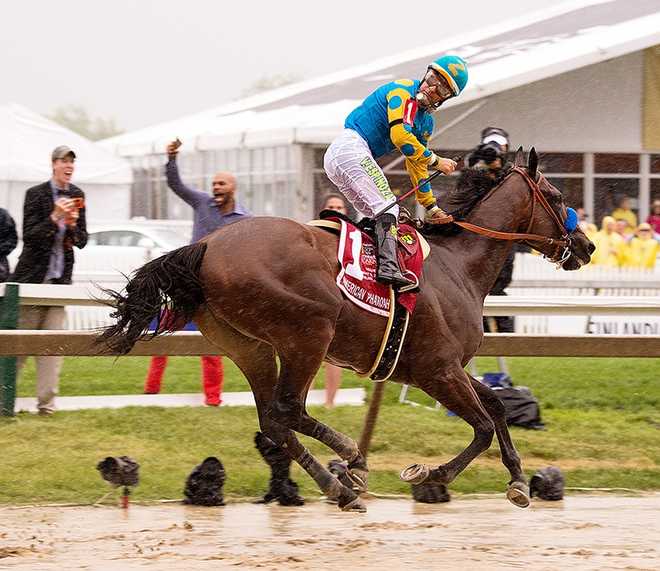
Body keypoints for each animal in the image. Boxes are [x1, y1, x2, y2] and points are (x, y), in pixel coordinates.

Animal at [100, 149, 596, 512]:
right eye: (554, 195)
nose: (587, 245)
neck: (460, 266)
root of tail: (205, 244)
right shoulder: (437, 370)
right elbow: (482, 426)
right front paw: (430, 475)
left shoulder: (444, 367)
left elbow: (494, 406)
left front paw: (518, 481)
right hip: (308, 333)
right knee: (287, 409)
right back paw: (351, 460)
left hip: (249, 347)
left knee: (274, 419)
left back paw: (339, 486)